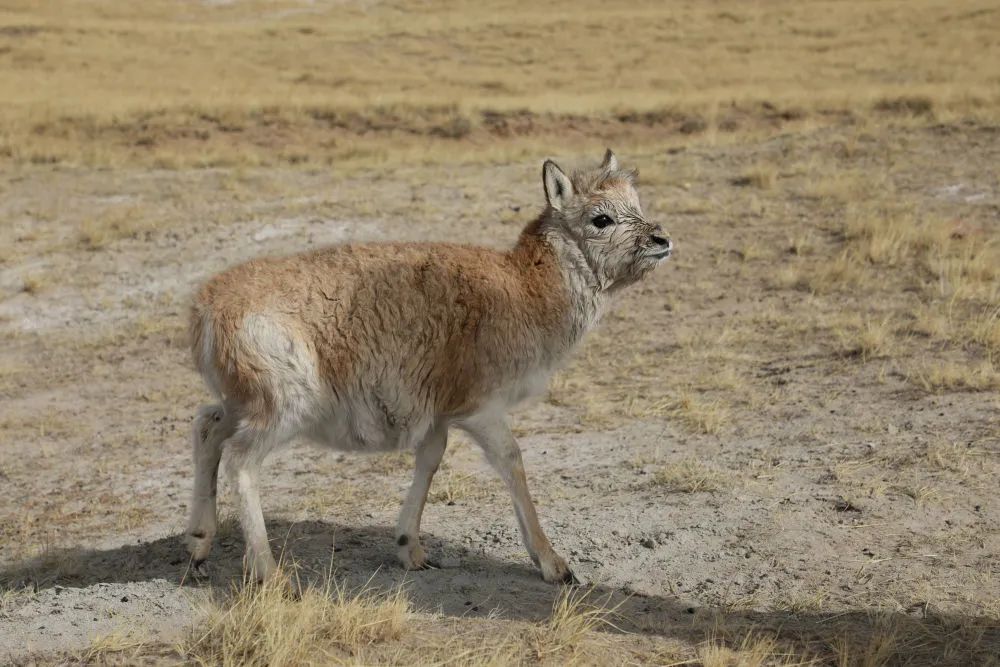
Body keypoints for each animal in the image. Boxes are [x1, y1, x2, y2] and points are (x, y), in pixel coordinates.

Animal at [186, 151, 672, 584]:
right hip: (282, 410)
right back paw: (268, 571)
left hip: (243, 404)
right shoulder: (482, 410)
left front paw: (410, 548)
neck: (523, 286)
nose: (662, 240)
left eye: (636, 203)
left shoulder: (438, 416)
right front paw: (553, 563)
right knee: (240, 462)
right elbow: (511, 461)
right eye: (601, 218)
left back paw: (199, 543)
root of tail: (208, 306)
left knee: (207, 427)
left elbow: (430, 460)